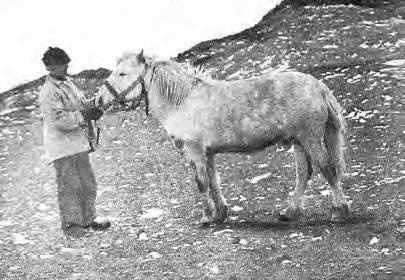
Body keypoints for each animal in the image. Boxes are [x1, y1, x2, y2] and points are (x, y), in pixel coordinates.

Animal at [96, 50, 348, 223]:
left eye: (122, 73)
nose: (98, 100)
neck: (183, 101)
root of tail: (319, 88)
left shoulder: (195, 150)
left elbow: (201, 183)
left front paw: (207, 216)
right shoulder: (207, 153)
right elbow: (213, 181)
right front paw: (220, 213)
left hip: (310, 137)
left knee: (327, 168)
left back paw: (339, 210)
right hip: (298, 141)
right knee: (304, 173)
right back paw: (290, 211)